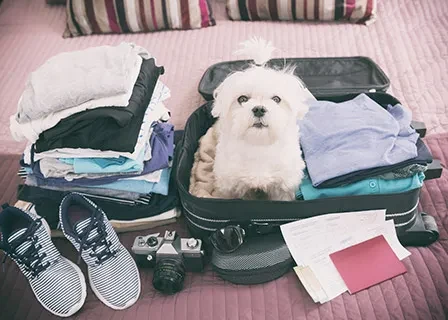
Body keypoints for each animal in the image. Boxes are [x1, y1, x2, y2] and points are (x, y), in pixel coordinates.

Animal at [211, 38, 310, 201]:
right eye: (242, 99)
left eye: (276, 99)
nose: (259, 109)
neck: (259, 145)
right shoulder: (233, 185)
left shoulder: (282, 186)